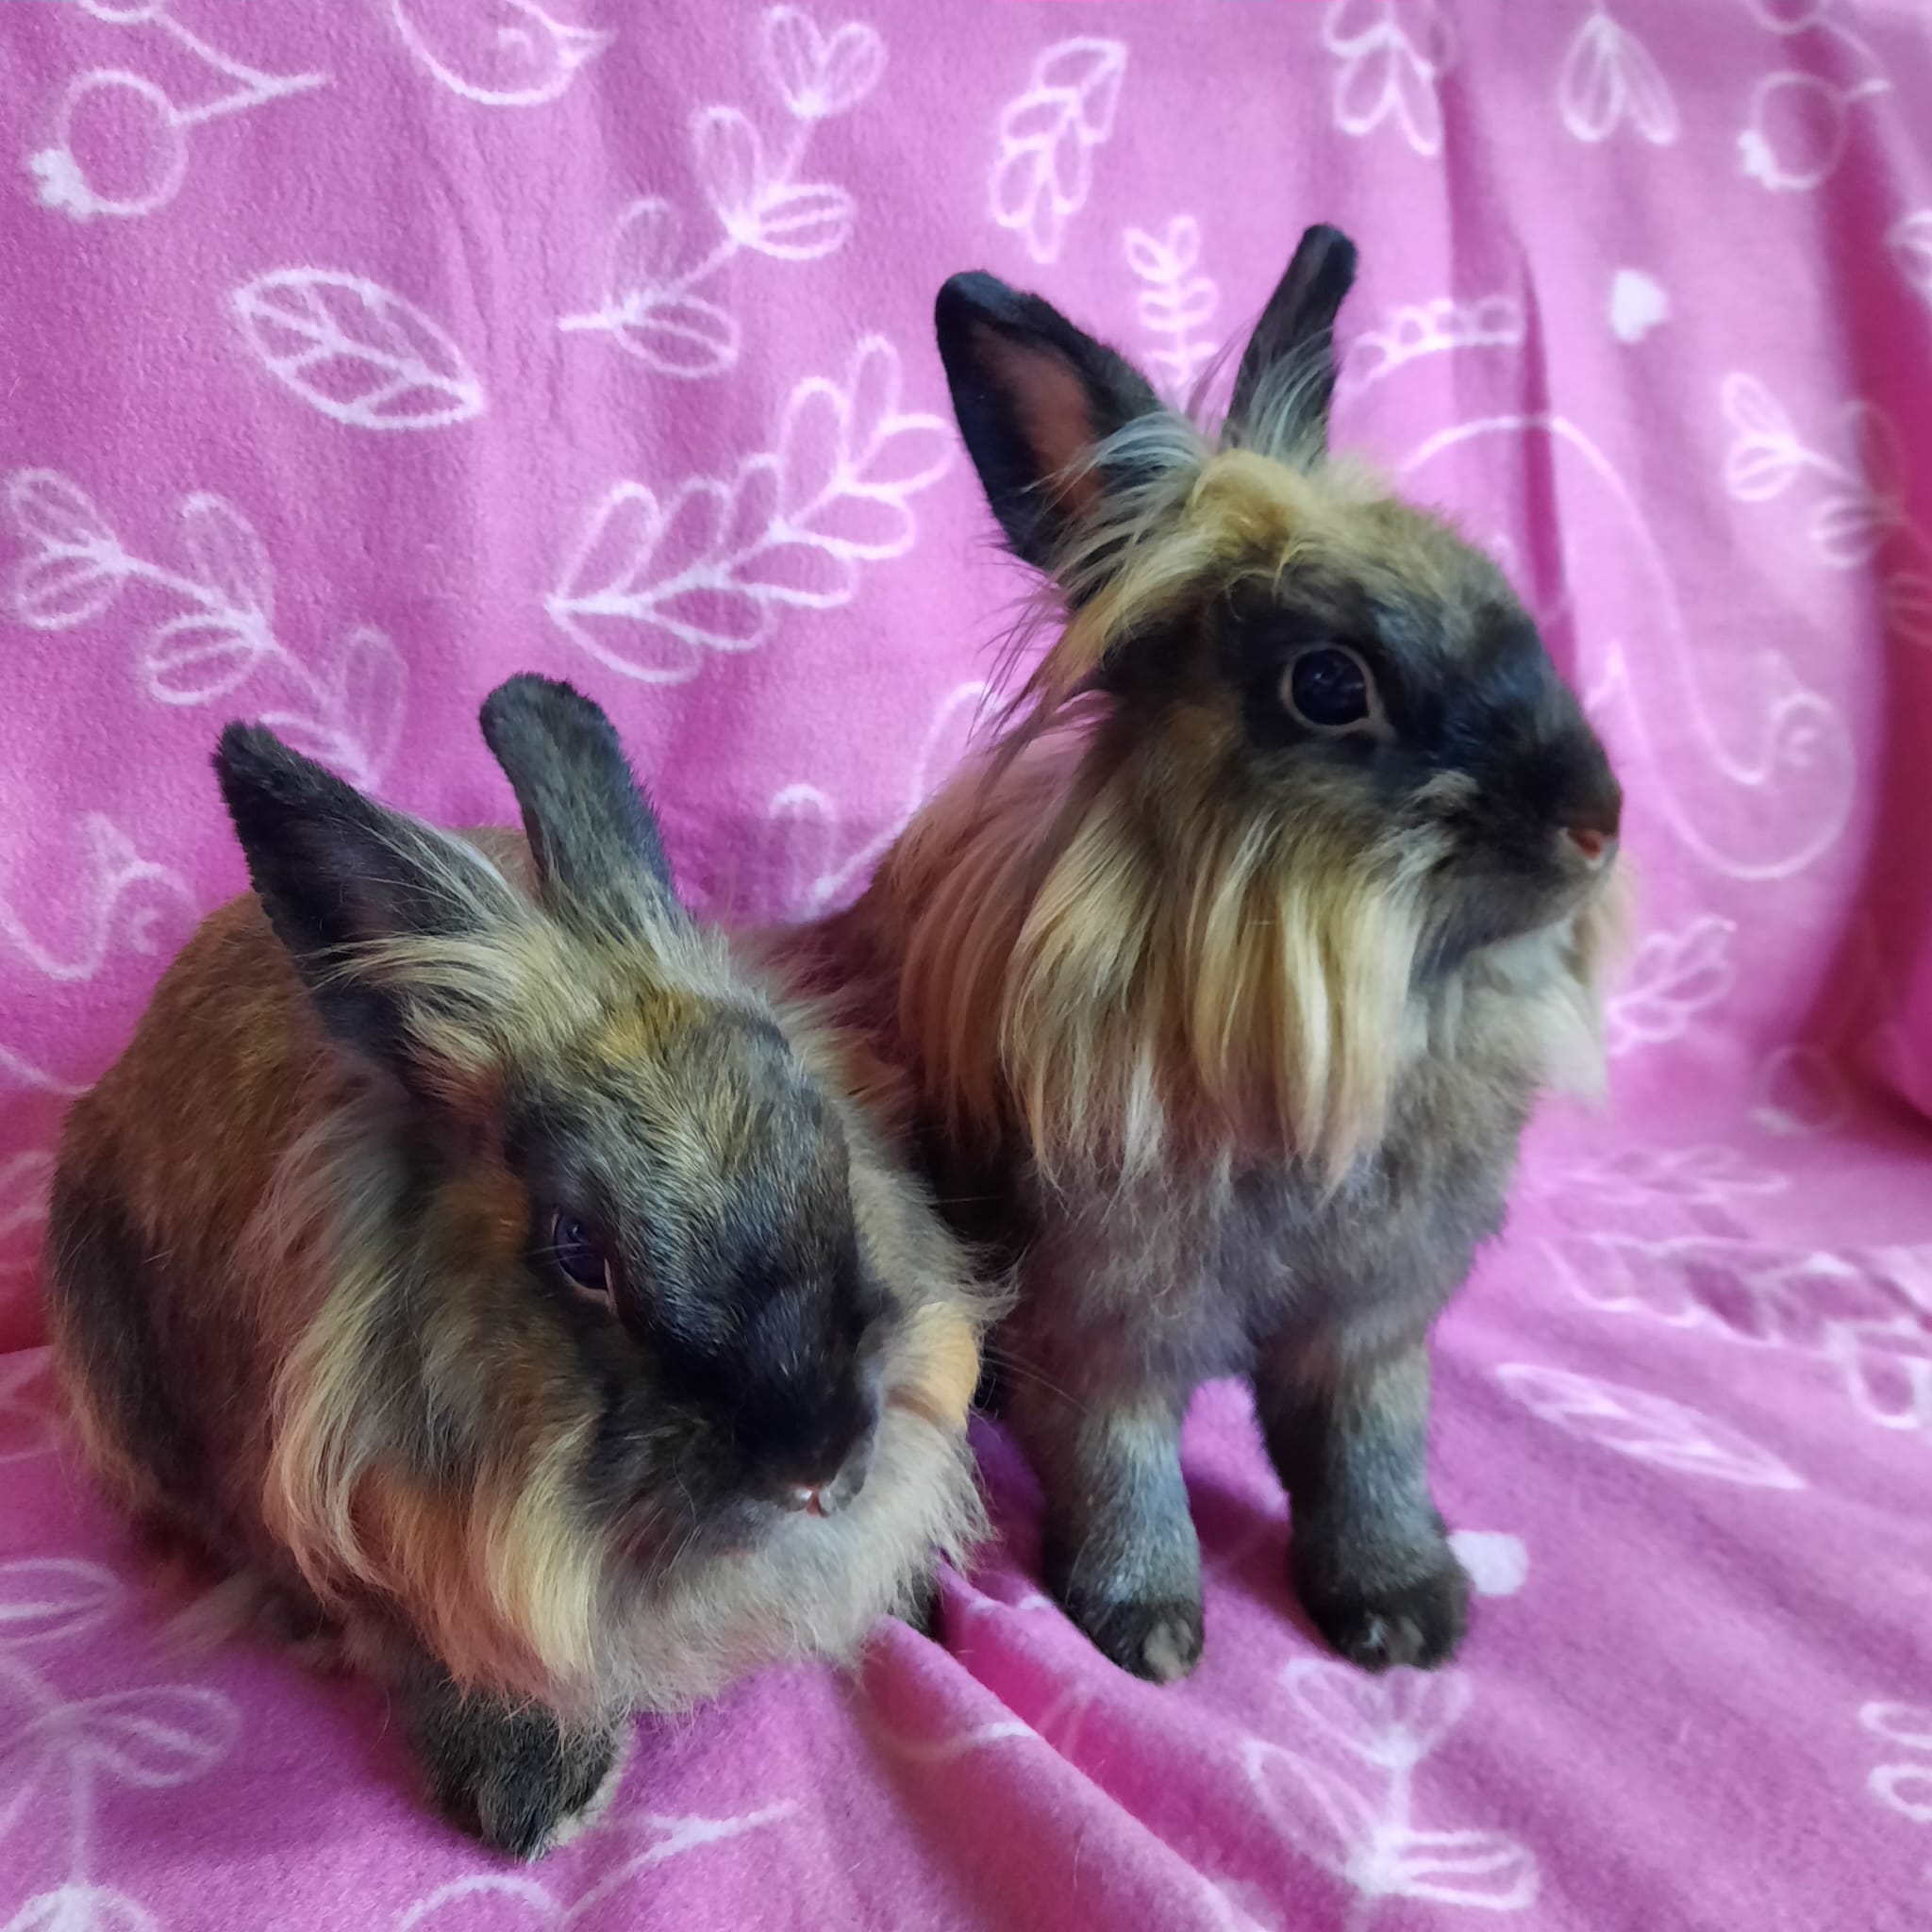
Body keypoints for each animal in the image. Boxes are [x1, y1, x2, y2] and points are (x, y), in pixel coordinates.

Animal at [783, 227, 1627, 1685]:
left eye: (1506, 609)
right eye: (1330, 685)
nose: (1596, 817)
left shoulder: (1368, 1330)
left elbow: (1369, 1456)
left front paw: (1407, 1613)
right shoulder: (1103, 1319)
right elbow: (1120, 1464)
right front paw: (1149, 1630)